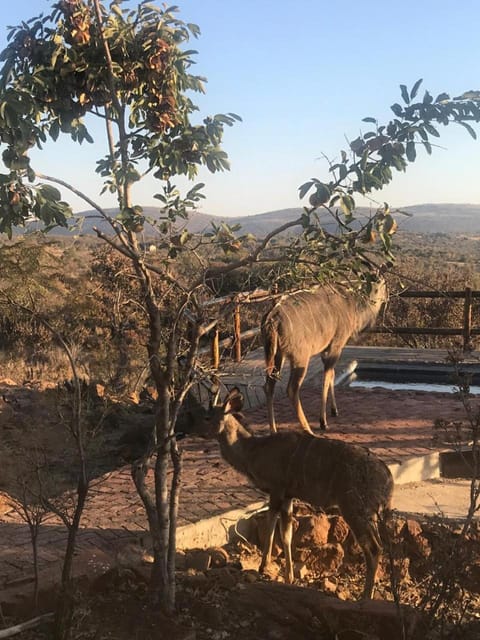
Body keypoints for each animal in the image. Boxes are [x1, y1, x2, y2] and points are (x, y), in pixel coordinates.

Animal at [202, 388, 394, 604]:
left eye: (208, 417)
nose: (196, 432)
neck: (253, 453)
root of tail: (388, 482)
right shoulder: (288, 496)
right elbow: (286, 535)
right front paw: (289, 577)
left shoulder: (276, 489)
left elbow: (271, 527)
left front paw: (263, 567)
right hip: (369, 513)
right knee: (380, 546)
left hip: (355, 508)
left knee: (374, 548)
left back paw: (365, 597)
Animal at [260, 278, 388, 432]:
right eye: (383, 285)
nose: (386, 298)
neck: (351, 304)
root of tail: (272, 319)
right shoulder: (336, 345)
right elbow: (326, 378)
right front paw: (323, 421)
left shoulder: (325, 350)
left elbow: (332, 374)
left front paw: (334, 410)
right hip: (300, 357)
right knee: (292, 389)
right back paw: (308, 429)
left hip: (276, 356)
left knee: (268, 386)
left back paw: (274, 431)